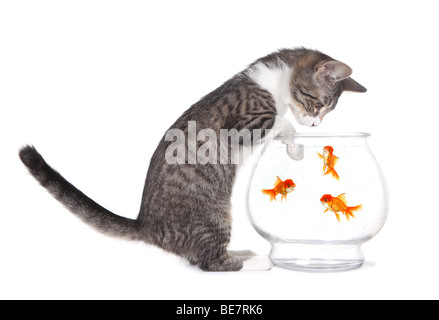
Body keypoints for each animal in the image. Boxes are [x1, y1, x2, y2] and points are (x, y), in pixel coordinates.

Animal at [18, 48, 366, 272]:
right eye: (318, 104)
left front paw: (294, 148)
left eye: (327, 110)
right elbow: (283, 123)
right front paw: (296, 142)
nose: (316, 126)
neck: (274, 80)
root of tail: (145, 225)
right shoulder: (244, 124)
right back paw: (253, 261)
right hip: (213, 216)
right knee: (208, 262)